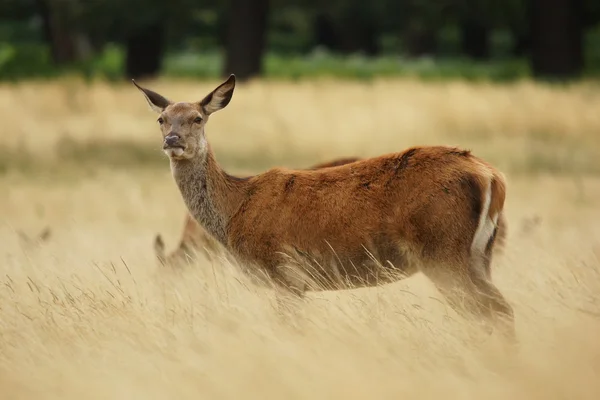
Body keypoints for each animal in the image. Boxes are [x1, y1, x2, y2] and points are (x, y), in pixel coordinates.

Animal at [132, 74, 516, 338]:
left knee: (494, 311)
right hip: (478, 254)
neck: (234, 209)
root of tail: (493, 177)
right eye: (162, 119)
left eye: (198, 118)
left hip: (443, 250)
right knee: (500, 309)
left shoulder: (285, 271)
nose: (172, 141)